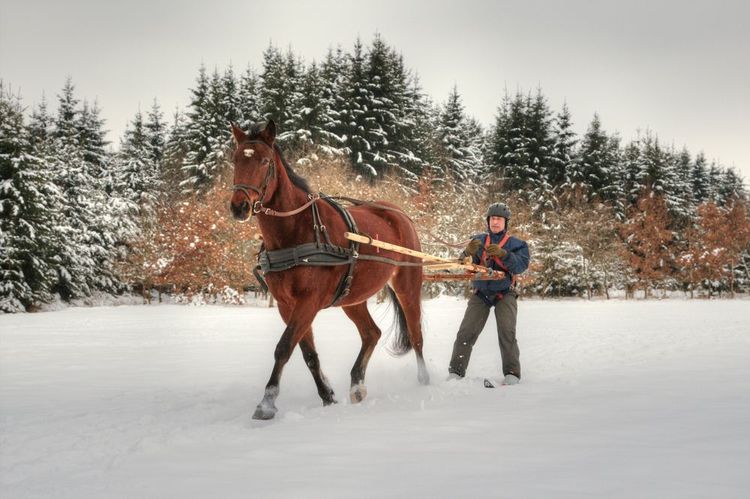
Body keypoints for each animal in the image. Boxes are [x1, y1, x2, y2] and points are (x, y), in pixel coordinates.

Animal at [229, 120, 430, 420]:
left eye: (264, 161)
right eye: (235, 160)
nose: (239, 206)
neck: (296, 230)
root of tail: (399, 214)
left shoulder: (308, 301)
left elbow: (283, 347)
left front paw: (267, 402)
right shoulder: (287, 305)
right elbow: (307, 354)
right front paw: (327, 396)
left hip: (407, 286)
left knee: (416, 335)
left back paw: (424, 380)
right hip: (352, 298)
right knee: (371, 333)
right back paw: (357, 385)